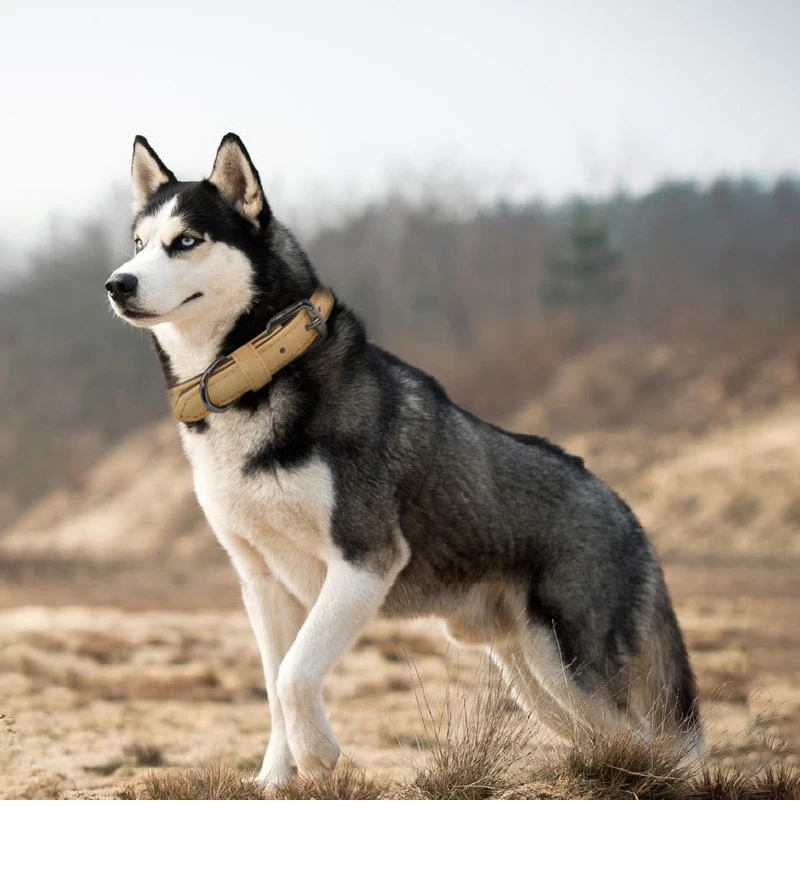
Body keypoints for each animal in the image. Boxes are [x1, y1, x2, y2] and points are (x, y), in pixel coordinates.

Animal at [104, 132, 700, 784]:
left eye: (186, 241)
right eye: (138, 243)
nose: (117, 283)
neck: (252, 377)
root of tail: (629, 514)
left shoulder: (365, 560)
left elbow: (293, 676)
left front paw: (318, 755)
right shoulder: (261, 579)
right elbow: (275, 682)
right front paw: (274, 782)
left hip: (569, 668)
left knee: (648, 742)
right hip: (534, 677)